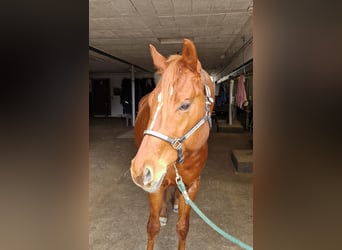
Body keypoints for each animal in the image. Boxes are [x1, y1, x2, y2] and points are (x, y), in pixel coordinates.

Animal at [130, 39, 214, 250]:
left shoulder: (193, 186)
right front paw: (160, 216)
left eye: (185, 105)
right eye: (152, 102)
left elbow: (183, 228)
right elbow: (152, 227)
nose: (139, 170)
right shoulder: (156, 185)